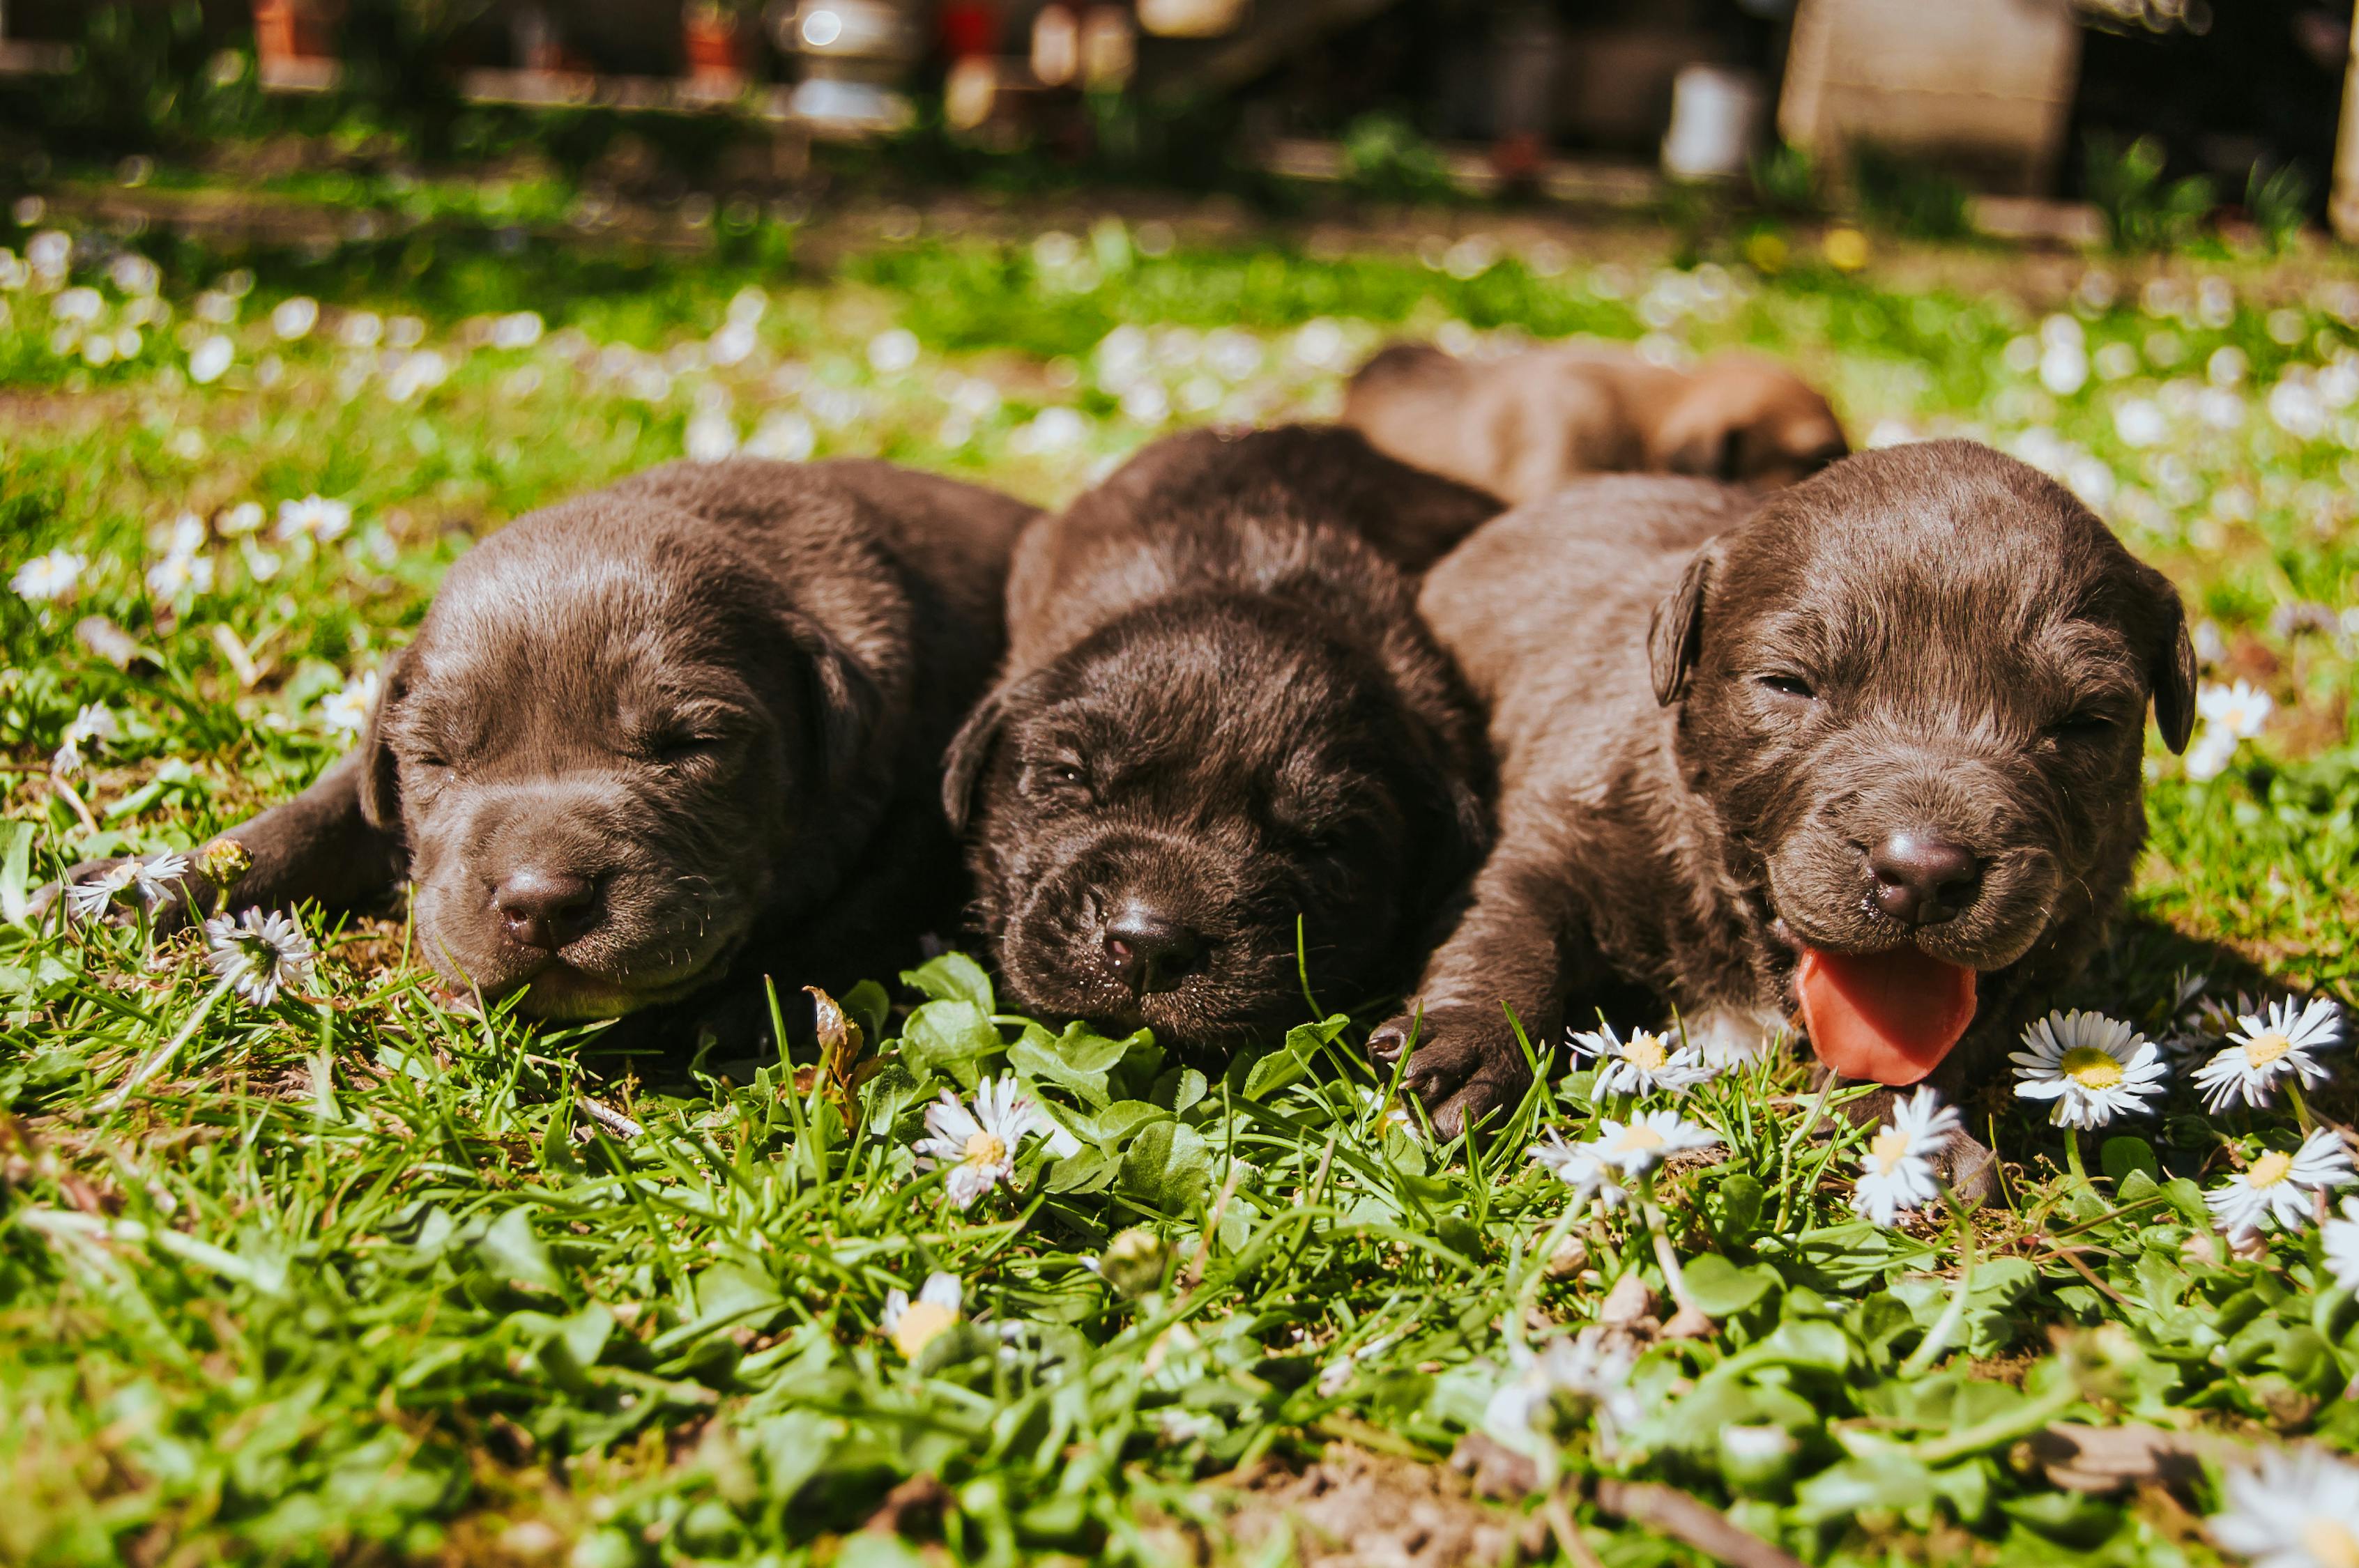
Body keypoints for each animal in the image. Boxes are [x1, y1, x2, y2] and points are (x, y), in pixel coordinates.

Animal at [53, 459, 1033, 1023]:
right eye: (437, 759)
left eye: (693, 746)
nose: (541, 904)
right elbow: (323, 811)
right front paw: (136, 885)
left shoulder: (914, 812)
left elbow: (835, 930)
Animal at [1377, 440, 2198, 1188]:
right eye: (1788, 684)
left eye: (2087, 723)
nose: (1924, 874)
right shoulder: (1561, 827)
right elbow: (1511, 926)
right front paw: (1467, 1049)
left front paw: (1908, 1136)